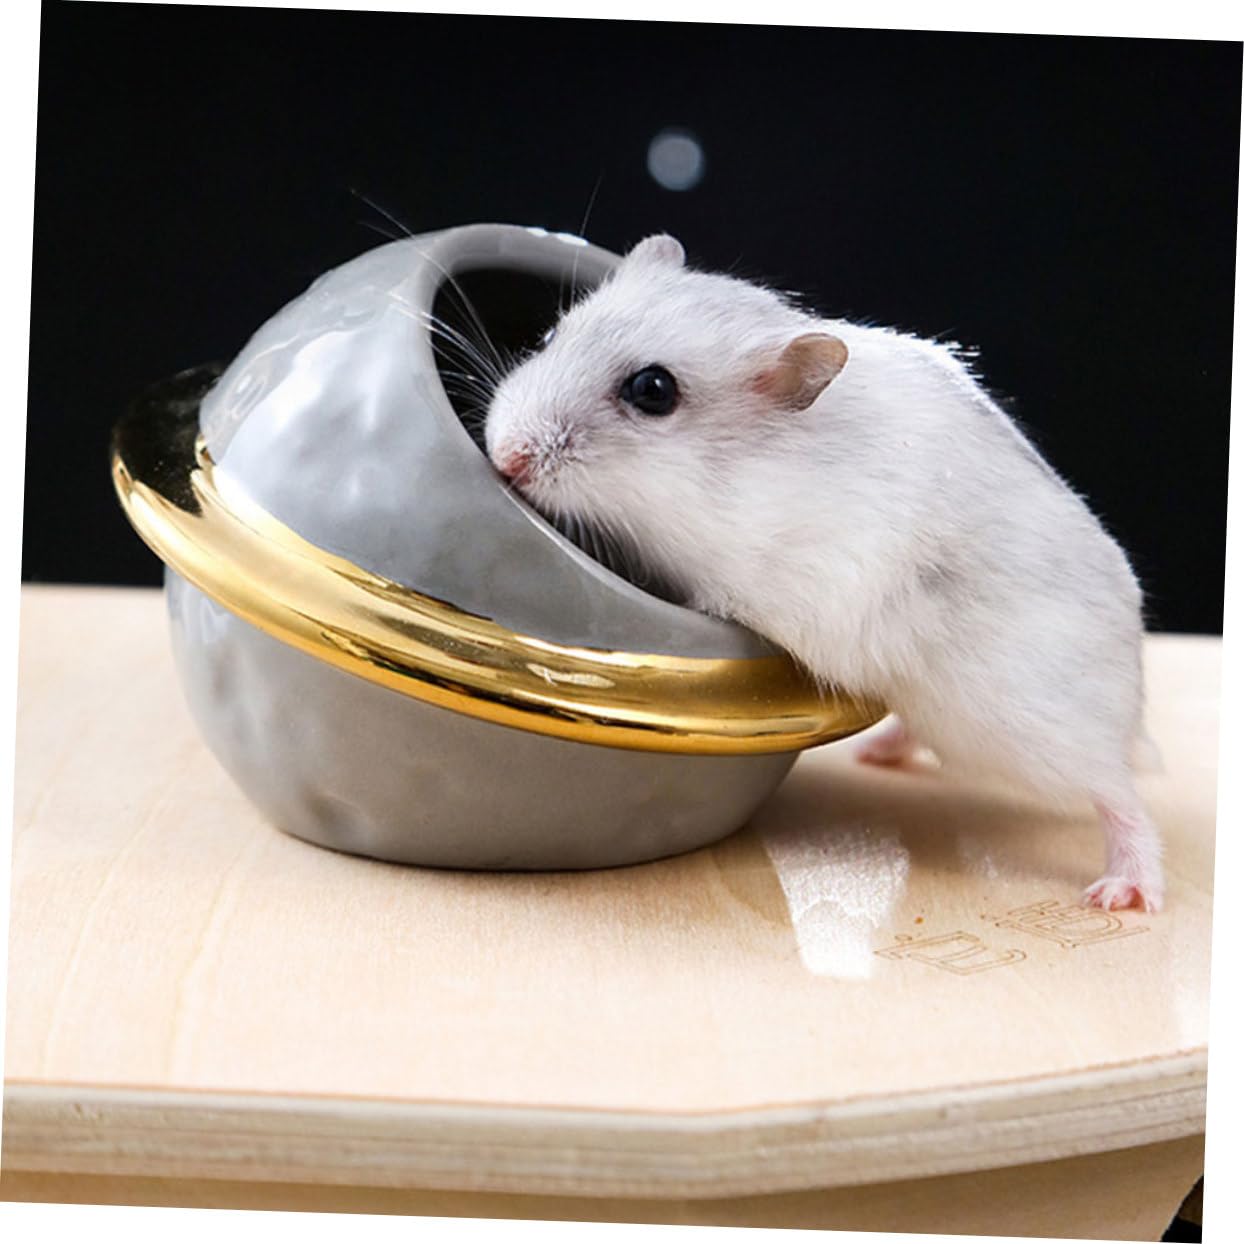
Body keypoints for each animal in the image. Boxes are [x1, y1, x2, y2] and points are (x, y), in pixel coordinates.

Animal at [483, 234, 1163, 912]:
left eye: (653, 390)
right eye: (551, 334)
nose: (503, 456)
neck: (727, 480)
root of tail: (1133, 697)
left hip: (1028, 729)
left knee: (1122, 795)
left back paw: (1124, 892)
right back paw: (876, 754)